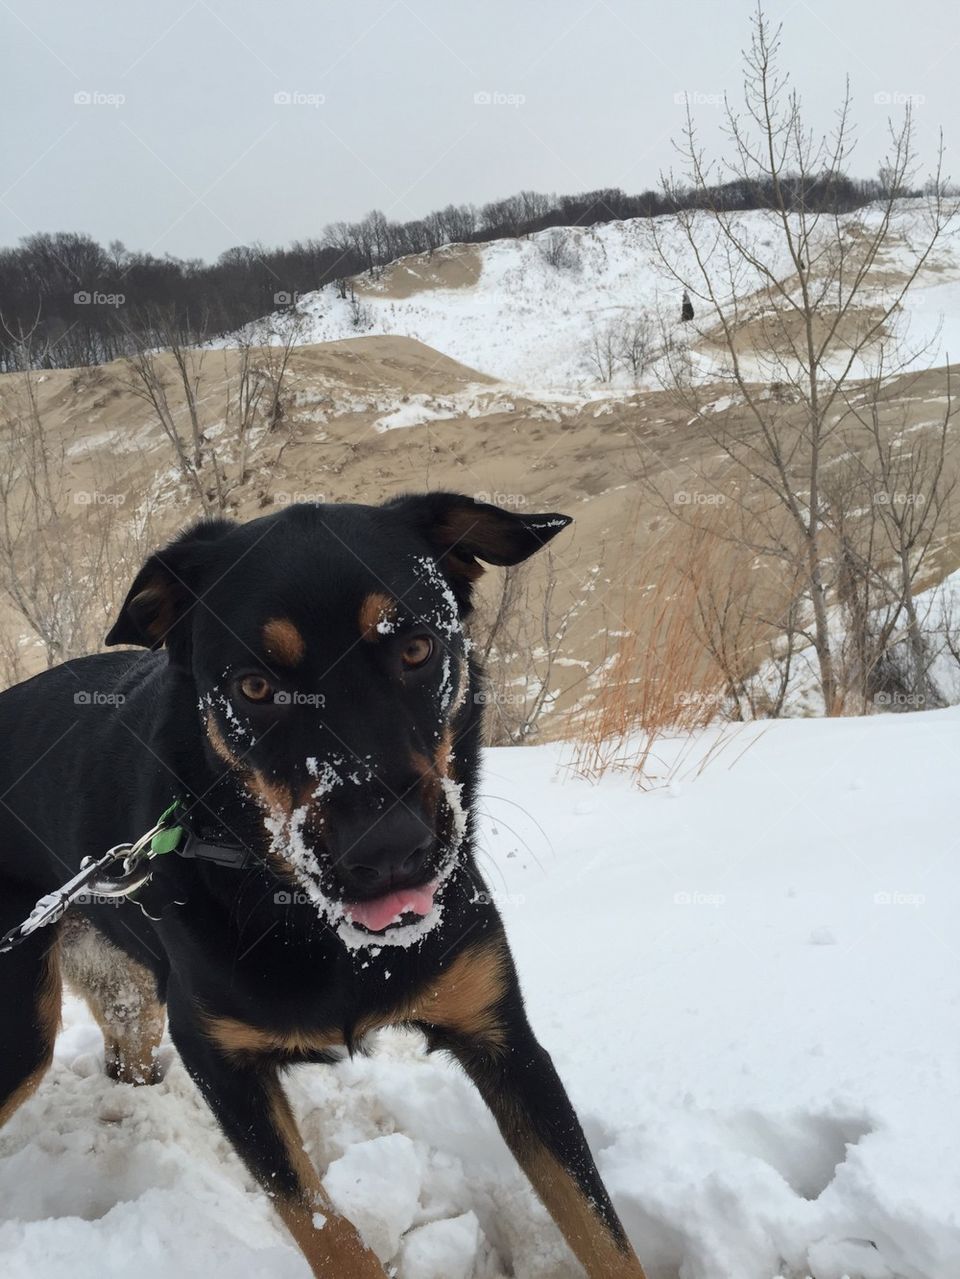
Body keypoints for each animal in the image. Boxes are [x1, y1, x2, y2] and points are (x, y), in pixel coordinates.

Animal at [0, 493, 649, 1273]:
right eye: (254, 687)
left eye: (416, 648)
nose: (390, 847)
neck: (314, 925)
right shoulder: (217, 1056)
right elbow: (323, 1225)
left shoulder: (506, 1041)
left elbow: (598, 1226)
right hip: (21, 1033)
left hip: (122, 988)